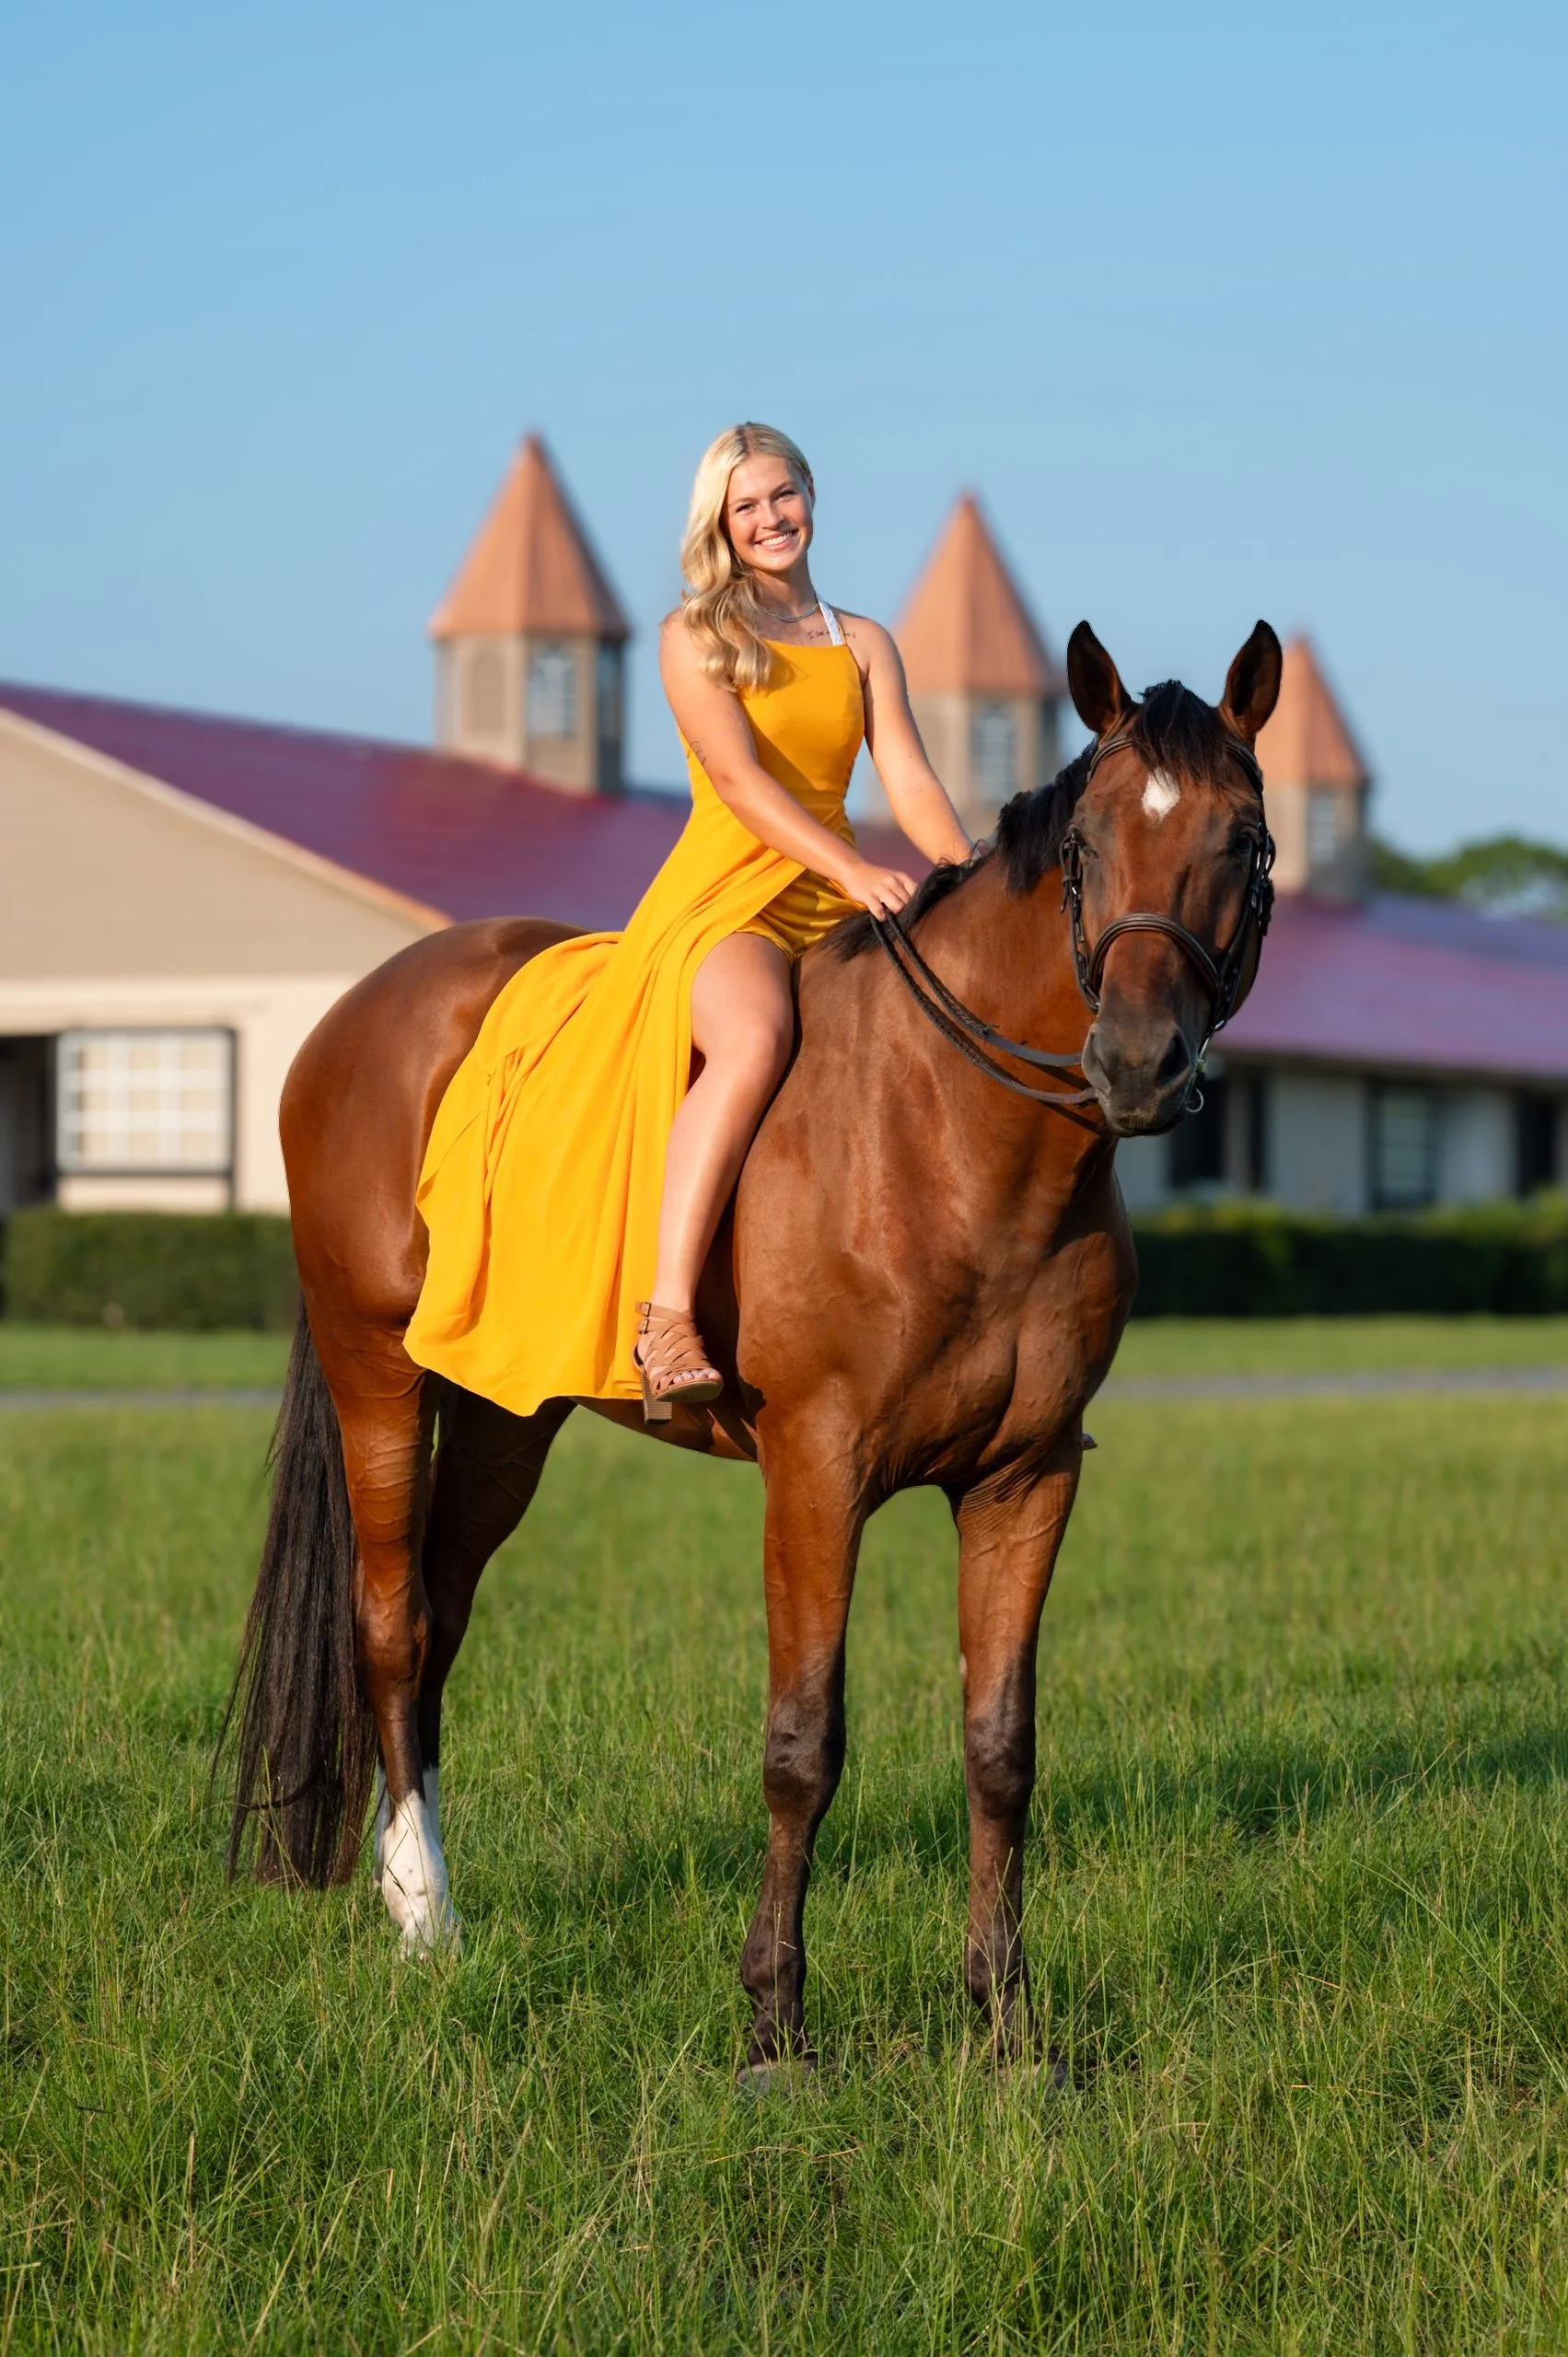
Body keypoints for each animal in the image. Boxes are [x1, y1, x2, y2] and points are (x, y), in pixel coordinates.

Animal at [222, 620, 1282, 2080]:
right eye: (1083, 844)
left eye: (1243, 839)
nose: (1134, 1065)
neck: (952, 1139)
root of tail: (359, 1013)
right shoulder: (813, 1472)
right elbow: (802, 1743)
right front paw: (775, 2022)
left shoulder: (1027, 1479)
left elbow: (999, 1744)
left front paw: (1005, 2024)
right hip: (376, 1369)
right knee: (391, 1624)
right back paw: (424, 1920)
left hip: (504, 1419)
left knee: (440, 1616)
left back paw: (418, 1885)